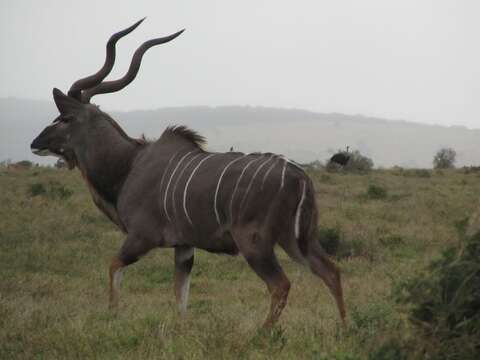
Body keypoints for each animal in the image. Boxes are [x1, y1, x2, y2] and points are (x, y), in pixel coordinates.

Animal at [31, 20, 344, 330]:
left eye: (64, 118)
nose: (36, 142)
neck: (129, 165)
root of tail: (299, 177)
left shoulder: (140, 238)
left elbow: (114, 267)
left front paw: (112, 317)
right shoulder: (184, 247)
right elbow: (180, 294)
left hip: (256, 244)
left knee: (281, 285)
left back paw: (261, 333)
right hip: (297, 240)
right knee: (331, 270)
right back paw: (344, 327)